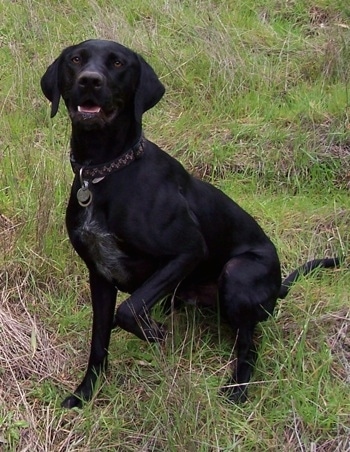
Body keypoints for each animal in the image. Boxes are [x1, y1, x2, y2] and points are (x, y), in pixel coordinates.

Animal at [41, 38, 340, 408]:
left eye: (118, 63)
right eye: (76, 59)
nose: (89, 81)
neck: (103, 173)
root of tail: (278, 287)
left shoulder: (188, 250)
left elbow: (129, 309)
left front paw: (152, 333)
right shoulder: (100, 274)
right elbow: (99, 340)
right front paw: (85, 393)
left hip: (238, 273)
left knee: (249, 343)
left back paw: (238, 388)